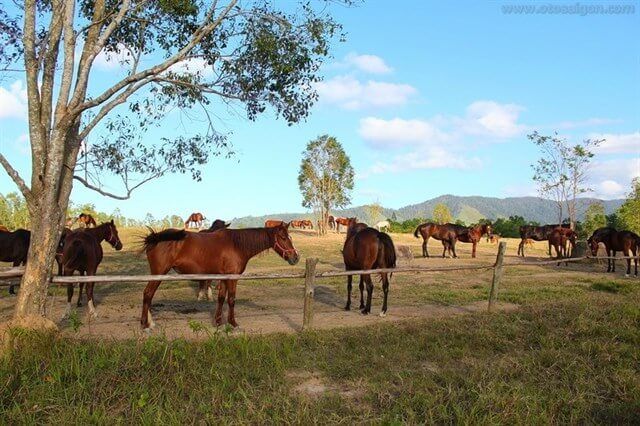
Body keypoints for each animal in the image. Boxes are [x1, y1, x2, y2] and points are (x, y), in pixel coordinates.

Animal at [141, 221, 300, 332]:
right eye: (283, 237)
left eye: (290, 237)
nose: (296, 257)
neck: (237, 245)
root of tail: (155, 237)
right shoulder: (232, 278)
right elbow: (231, 299)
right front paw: (233, 323)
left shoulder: (223, 277)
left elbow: (221, 298)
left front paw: (218, 322)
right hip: (159, 273)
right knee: (148, 294)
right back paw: (145, 325)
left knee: (149, 295)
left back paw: (150, 322)